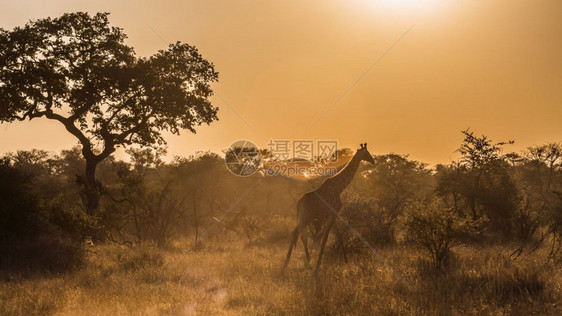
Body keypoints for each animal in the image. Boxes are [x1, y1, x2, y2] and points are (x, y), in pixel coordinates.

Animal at [284, 143, 372, 274]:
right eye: (367, 153)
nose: (373, 160)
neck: (339, 188)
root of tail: (298, 204)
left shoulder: (330, 214)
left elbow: (338, 235)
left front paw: (346, 261)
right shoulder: (333, 212)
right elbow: (325, 238)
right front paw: (318, 265)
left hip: (305, 218)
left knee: (301, 236)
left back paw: (305, 261)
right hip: (306, 217)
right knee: (295, 233)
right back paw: (286, 264)